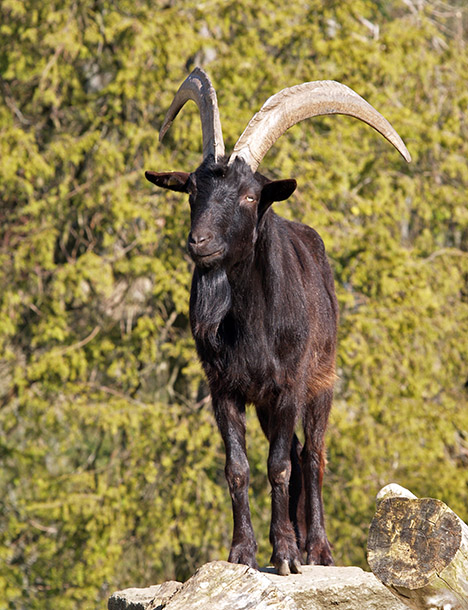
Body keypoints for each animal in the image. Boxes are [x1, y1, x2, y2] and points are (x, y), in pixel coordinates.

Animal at [146, 69, 410, 572]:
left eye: (250, 196)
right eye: (192, 191)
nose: (199, 242)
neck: (250, 324)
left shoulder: (289, 384)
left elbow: (281, 466)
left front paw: (286, 553)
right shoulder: (224, 388)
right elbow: (238, 467)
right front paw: (243, 551)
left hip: (321, 382)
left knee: (312, 456)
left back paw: (318, 548)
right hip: (267, 405)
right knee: (294, 451)